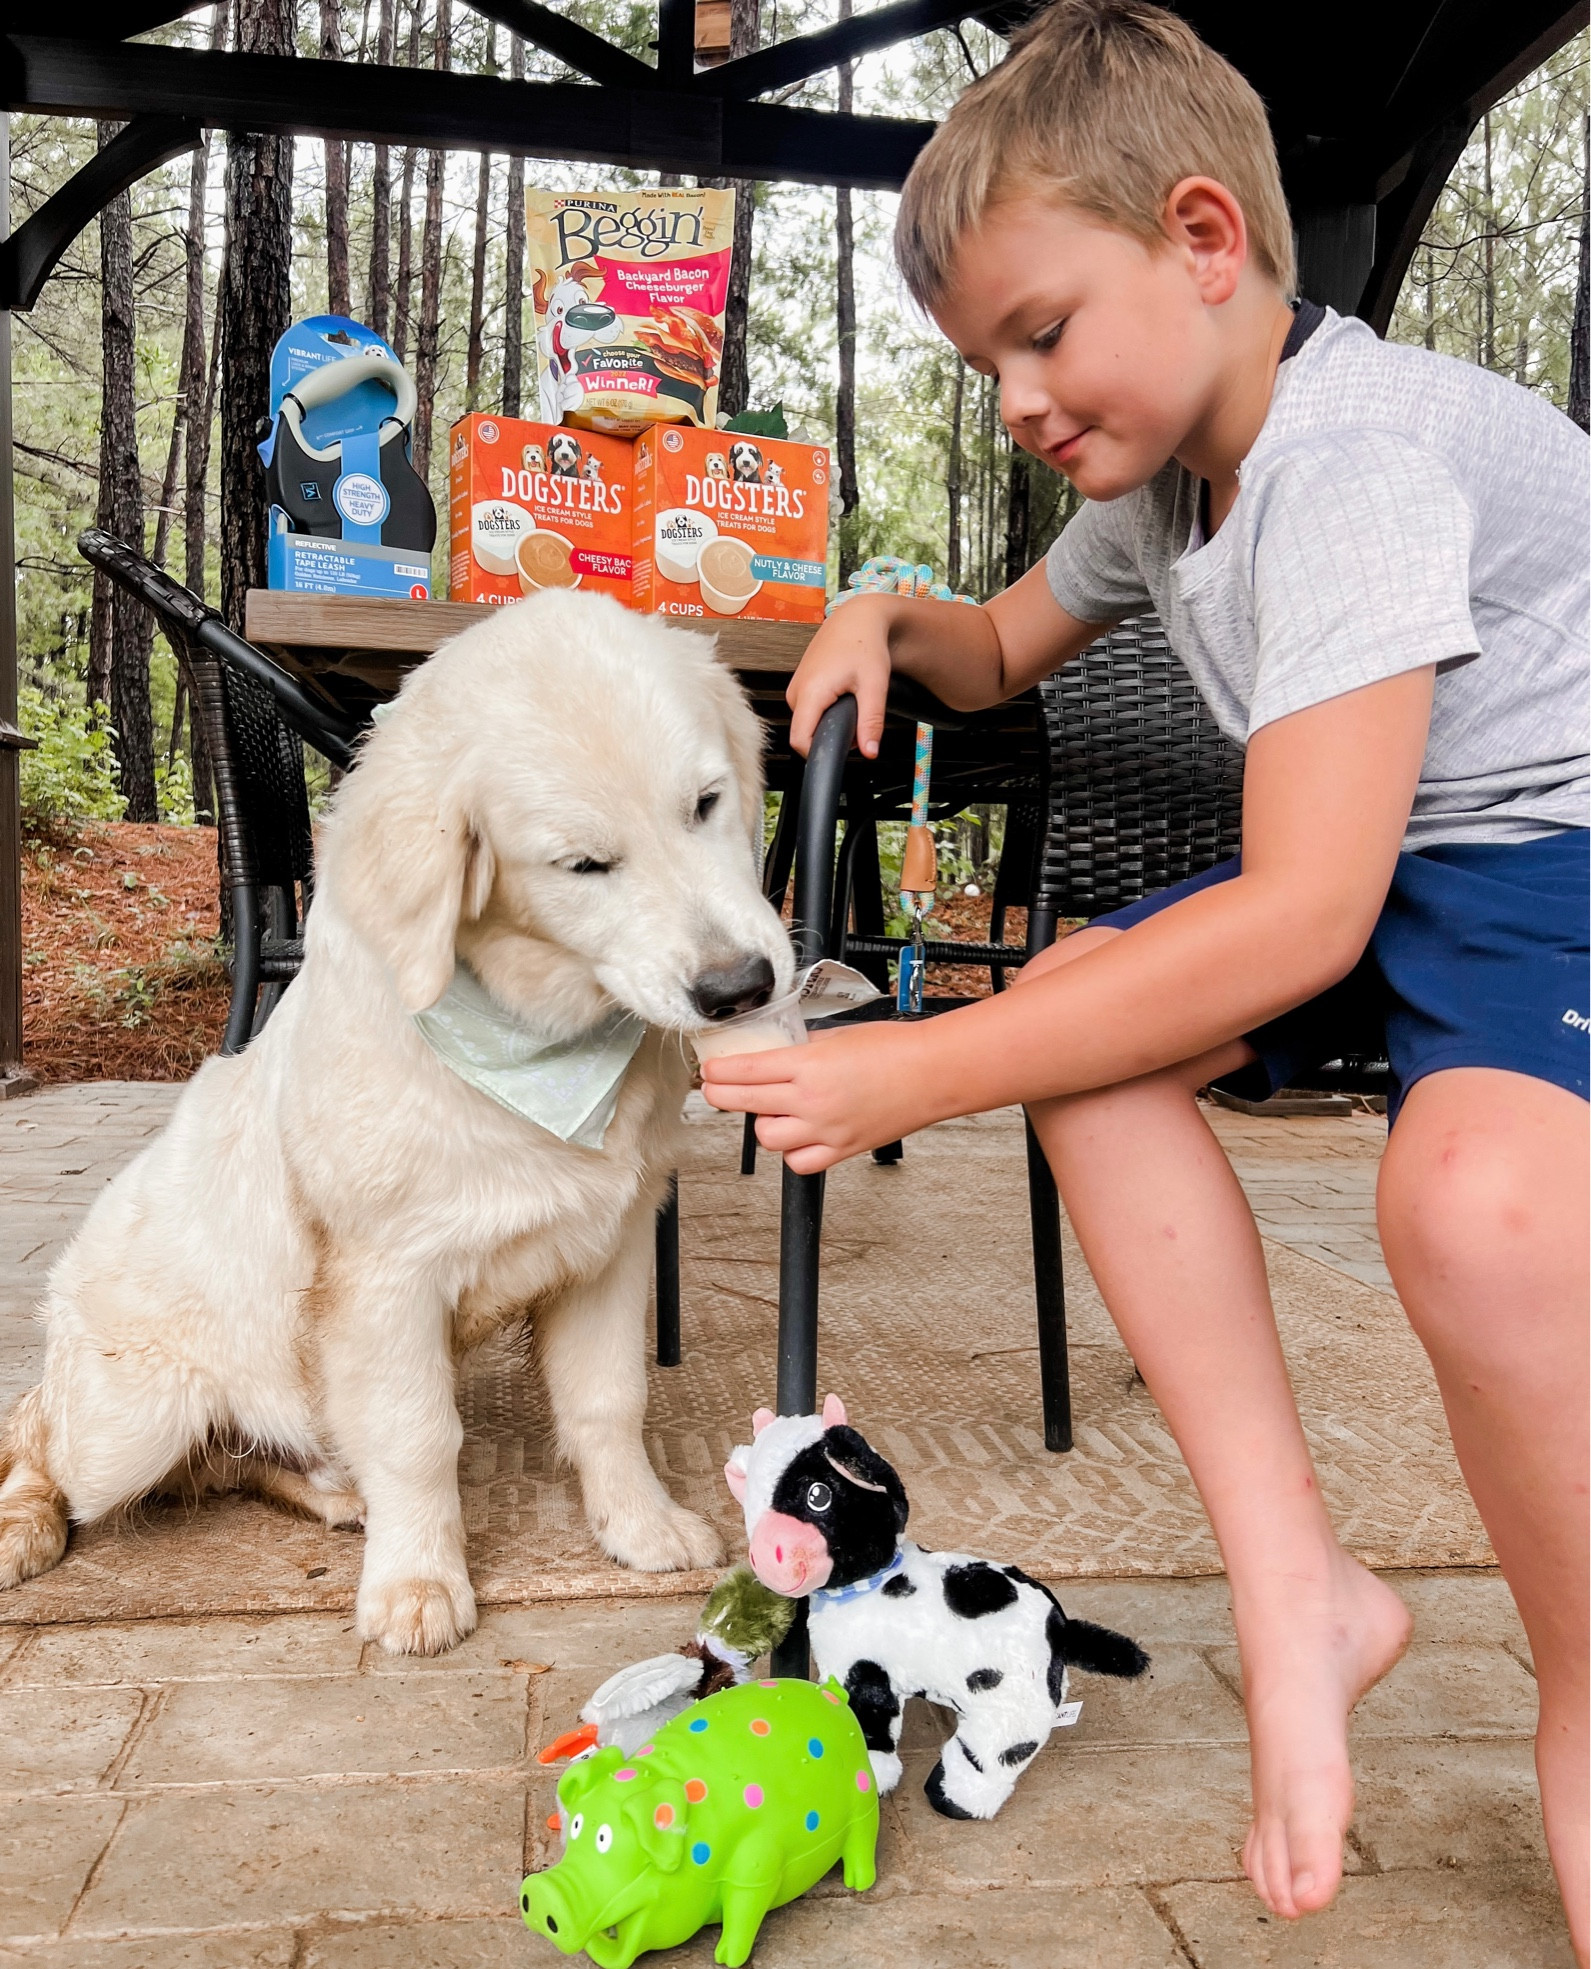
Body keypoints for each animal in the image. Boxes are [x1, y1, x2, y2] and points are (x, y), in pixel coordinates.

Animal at [0, 590, 795, 1653]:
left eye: (706, 804)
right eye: (583, 865)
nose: (738, 987)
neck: (531, 1044)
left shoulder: (609, 1247)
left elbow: (607, 1401)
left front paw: (637, 1523)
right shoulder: (384, 1283)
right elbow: (419, 1435)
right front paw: (418, 1579)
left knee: (220, 1465)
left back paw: (334, 1490)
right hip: (128, 1415)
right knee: (44, 1435)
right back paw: (28, 1520)